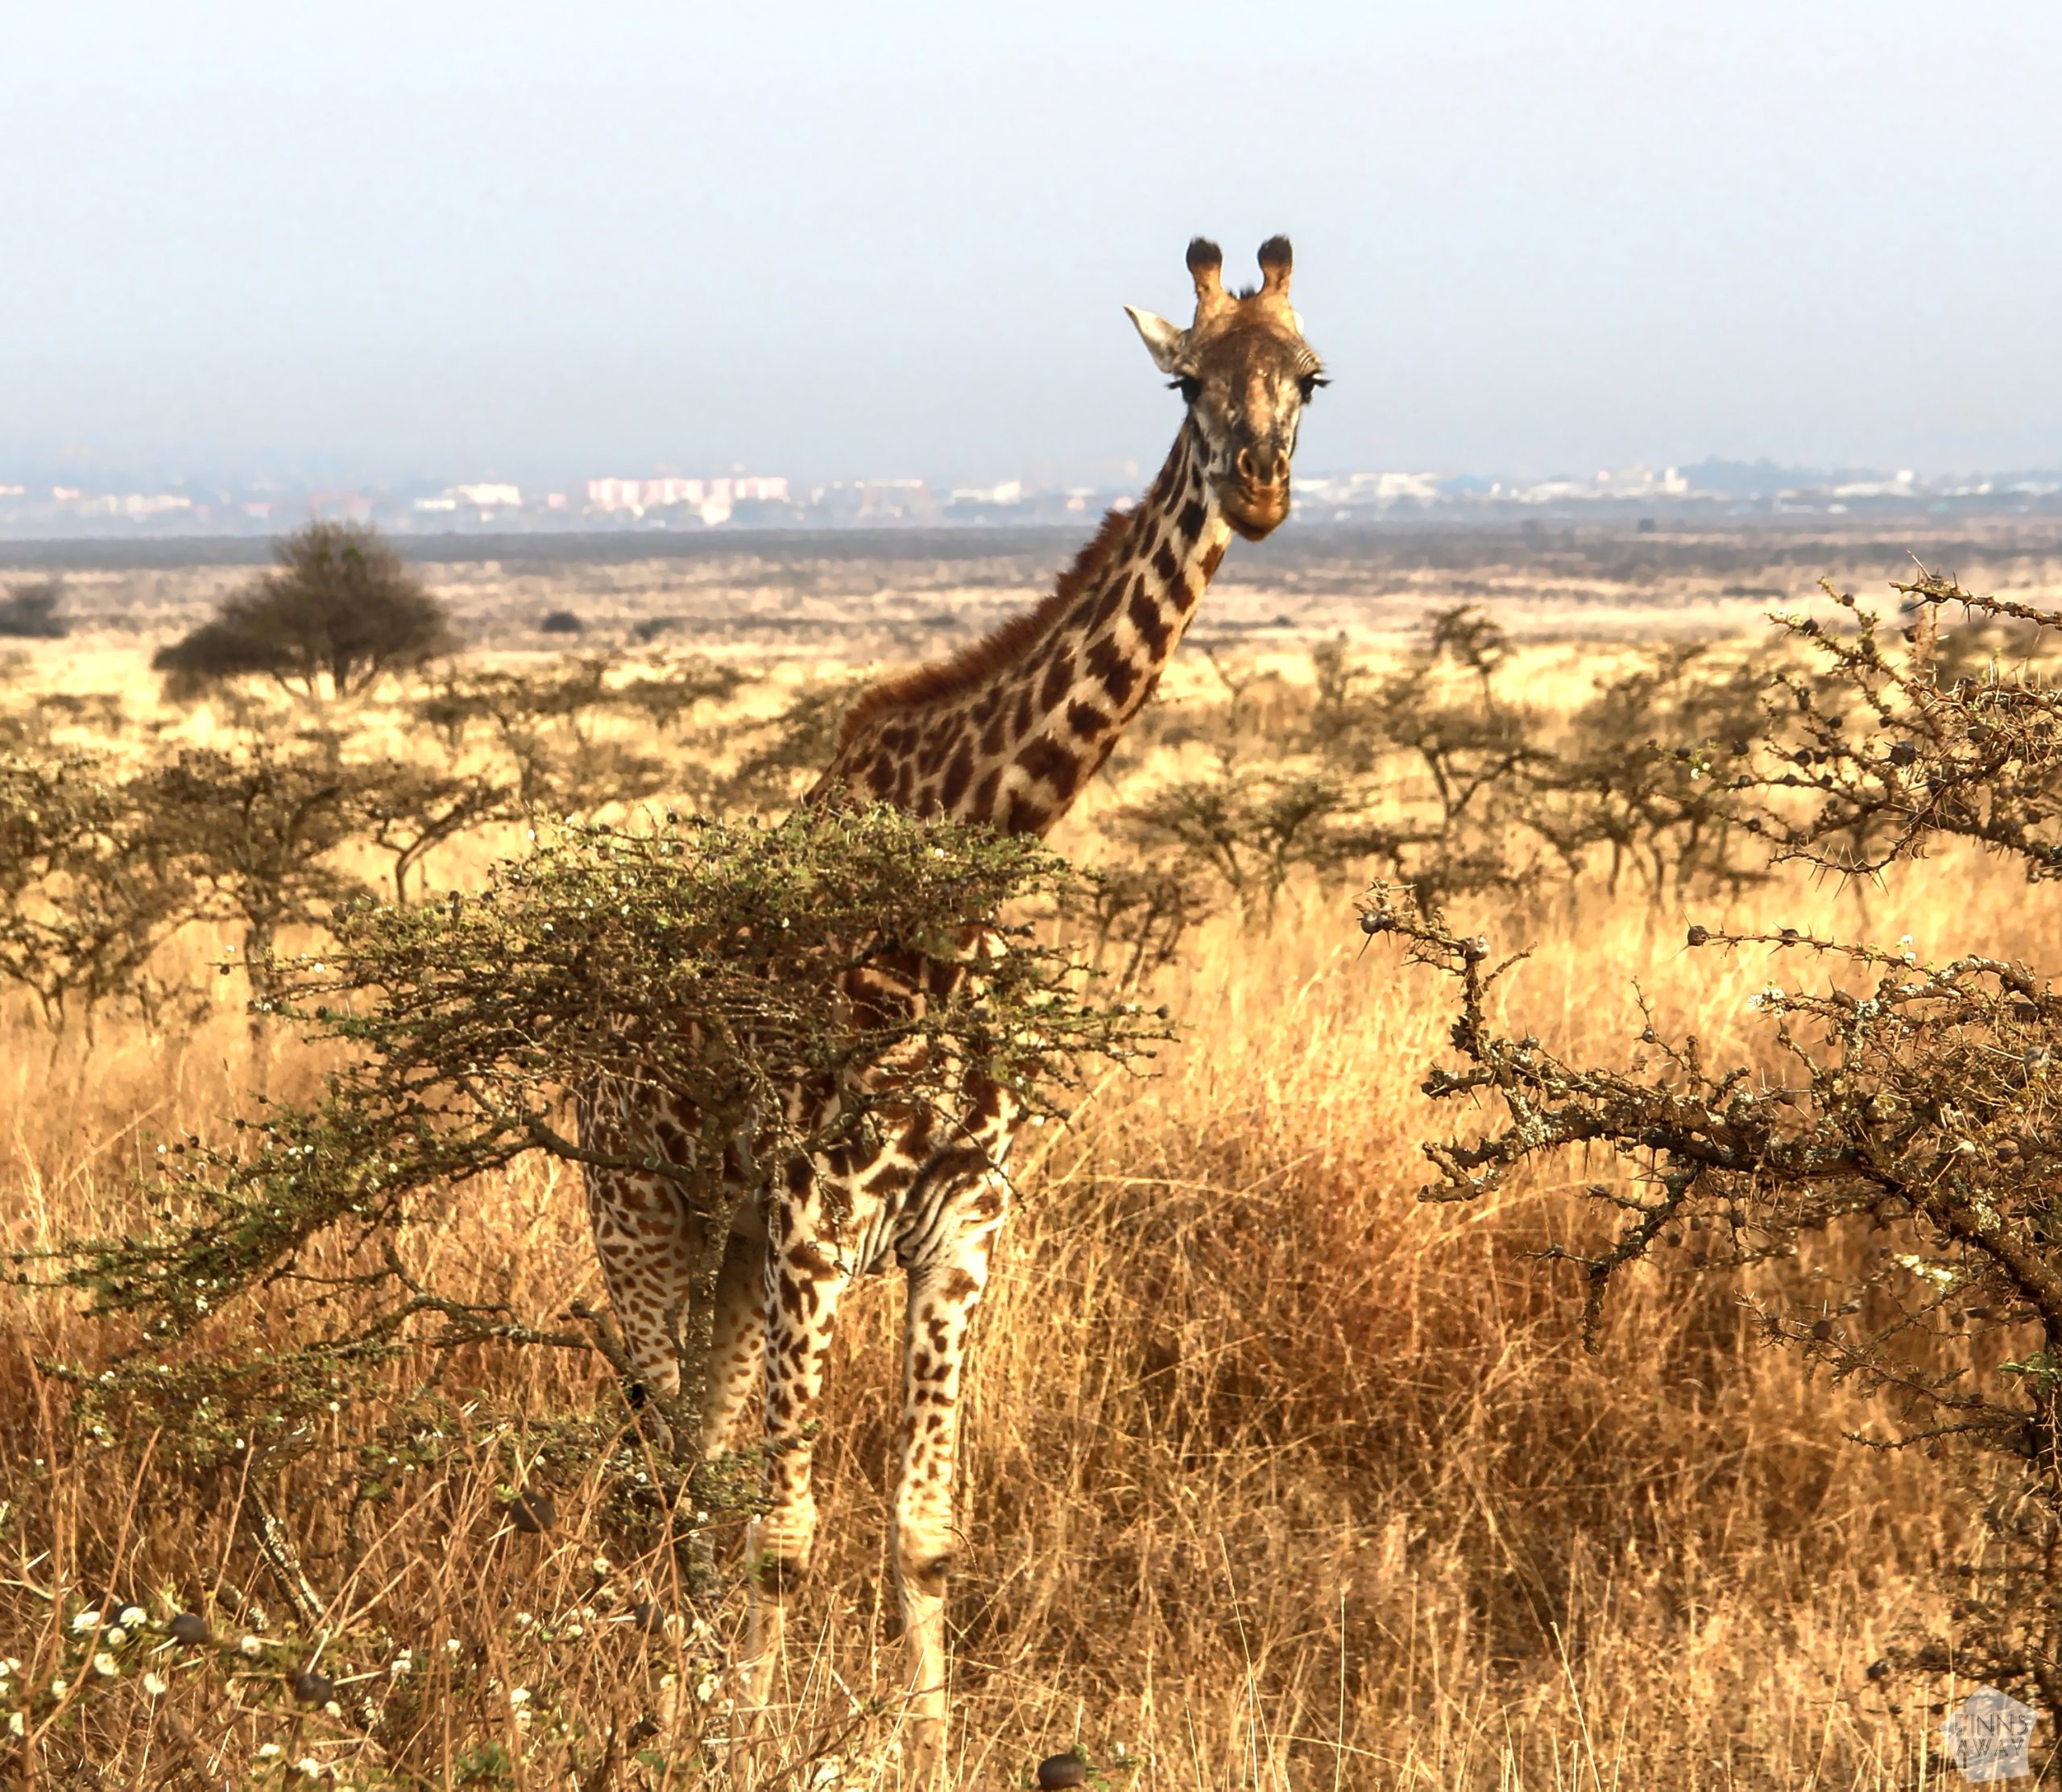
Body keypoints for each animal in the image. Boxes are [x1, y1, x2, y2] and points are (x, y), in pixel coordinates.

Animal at [581, 234, 1319, 1773]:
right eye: (1185, 381)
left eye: (1312, 377)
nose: (1260, 488)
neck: (948, 915)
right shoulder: (815, 1232)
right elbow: (788, 1532)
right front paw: (756, 1748)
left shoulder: (962, 1232)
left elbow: (923, 1530)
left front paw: (924, 1750)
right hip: (641, 1211)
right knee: (670, 1469)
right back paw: (683, 1717)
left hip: (725, 1247)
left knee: (697, 1455)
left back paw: (684, 1702)